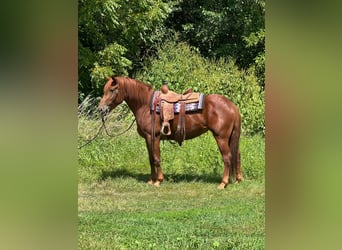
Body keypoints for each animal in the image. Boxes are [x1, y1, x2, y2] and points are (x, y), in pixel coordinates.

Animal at [98, 75, 243, 188]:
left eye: (112, 90)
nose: (100, 109)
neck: (146, 105)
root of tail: (232, 106)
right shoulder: (148, 138)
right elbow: (150, 159)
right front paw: (151, 180)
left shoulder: (154, 136)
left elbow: (156, 158)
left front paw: (158, 181)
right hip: (230, 137)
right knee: (237, 155)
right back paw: (237, 179)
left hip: (221, 137)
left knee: (227, 157)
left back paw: (223, 183)